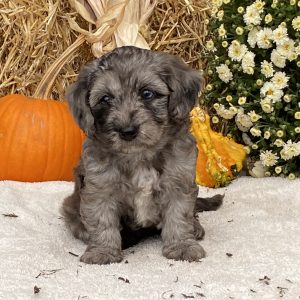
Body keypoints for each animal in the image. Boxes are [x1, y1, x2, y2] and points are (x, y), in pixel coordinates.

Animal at [62, 45, 210, 264]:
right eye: (105, 99)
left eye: (147, 93)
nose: (127, 131)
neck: (139, 155)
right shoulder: (100, 186)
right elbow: (102, 220)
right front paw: (103, 251)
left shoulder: (178, 180)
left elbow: (179, 216)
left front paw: (182, 246)